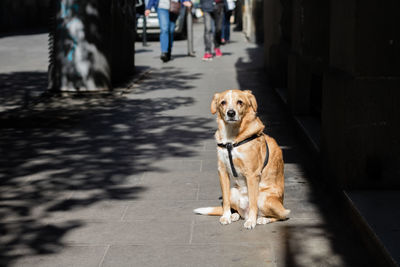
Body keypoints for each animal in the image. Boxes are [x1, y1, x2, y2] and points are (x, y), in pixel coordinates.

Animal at [195, 89, 290, 230]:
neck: (231, 138)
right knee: (238, 210)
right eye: (223, 102)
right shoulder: (222, 171)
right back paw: (234, 216)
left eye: (240, 102)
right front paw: (226, 216)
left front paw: (251, 221)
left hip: (264, 198)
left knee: (282, 216)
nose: (231, 113)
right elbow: (225, 202)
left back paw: (261, 219)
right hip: (233, 191)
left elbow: (253, 203)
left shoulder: (252, 174)